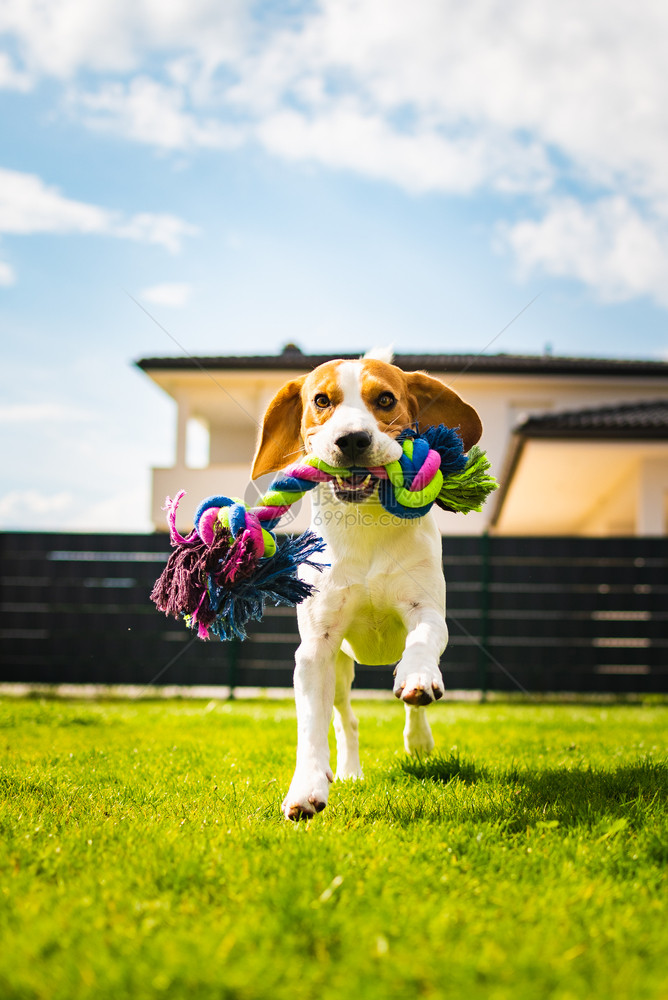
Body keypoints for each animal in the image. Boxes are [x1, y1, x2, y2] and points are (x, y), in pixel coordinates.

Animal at [250, 348, 480, 816]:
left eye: (386, 400)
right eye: (322, 400)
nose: (352, 439)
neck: (365, 522)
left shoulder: (426, 612)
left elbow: (422, 643)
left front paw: (417, 678)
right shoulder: (316, 648)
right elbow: (312, 726)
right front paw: (306, 787)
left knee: (411, 699)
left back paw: (418, 733)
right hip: (340, 668)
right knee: (346, 719)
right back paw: (349, 772)